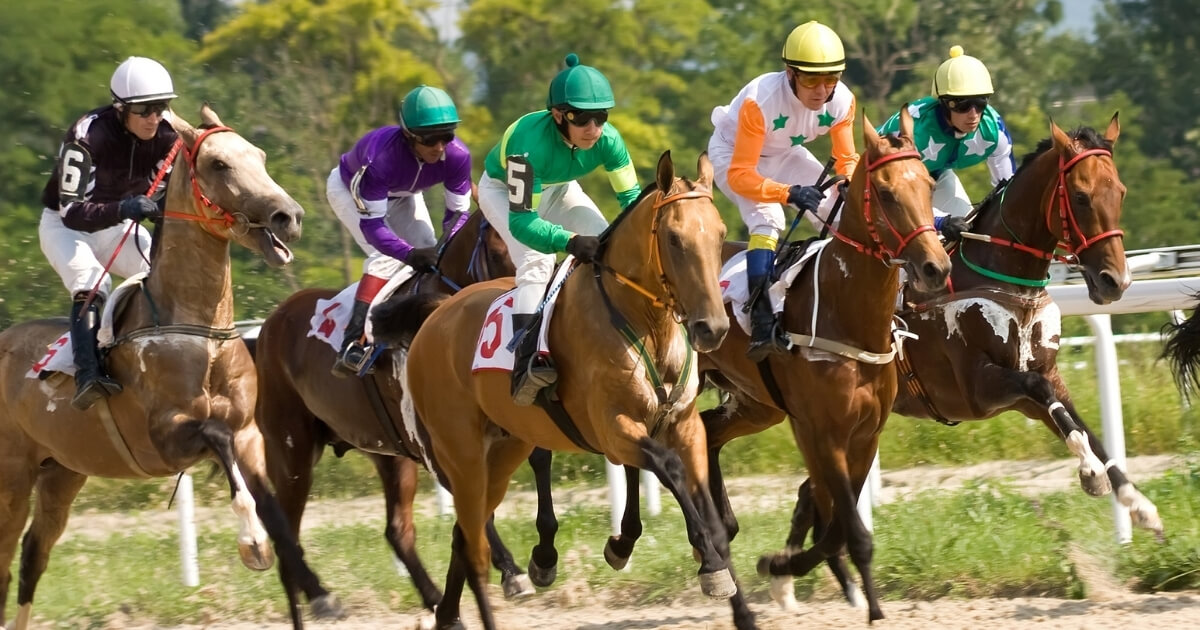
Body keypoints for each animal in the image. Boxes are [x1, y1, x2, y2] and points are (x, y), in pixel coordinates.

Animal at [0, 105, 343, 624]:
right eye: (219, 164)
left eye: (260, 155)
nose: (290, 217)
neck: (200, 332)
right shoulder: (167, 439)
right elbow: (219, 443)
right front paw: (251, 544)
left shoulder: (248, 433)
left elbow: (275, 510)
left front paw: (317, 590)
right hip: (13, 477)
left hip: (61, 472)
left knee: (33, 554)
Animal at [250, 210, 532, 614]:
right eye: (496, 250)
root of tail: (271, 324)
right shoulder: (437, 447)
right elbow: (477, 507)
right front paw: (512, 572)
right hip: (292, 452)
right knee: (287, 529)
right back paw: (320, 595)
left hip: (388, 453)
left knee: (397, 530)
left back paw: (432, 597)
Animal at [374, 152, 758, 628]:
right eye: (673, 238)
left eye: (720, 233)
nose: (713, 328)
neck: (646, 325)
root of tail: (437, 312)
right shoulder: (614, 429)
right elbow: (669, 469)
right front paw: (706, 565)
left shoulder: (686, 427)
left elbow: (708, 511)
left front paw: (738, 602)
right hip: (460, 452)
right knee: (472, 535)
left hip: (504, 450)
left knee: (466, 533)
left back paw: (451, 611)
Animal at [700, 110, 950, 619]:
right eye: (887, 193)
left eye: (930, 185)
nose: (936, 267)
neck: (847, 315)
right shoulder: (824, 432)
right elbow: (850, 528)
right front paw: (869, 608)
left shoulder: (866, 433)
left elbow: (838, 526)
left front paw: (783, 565)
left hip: (758, 404)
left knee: (709, 430)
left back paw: (726, 527)